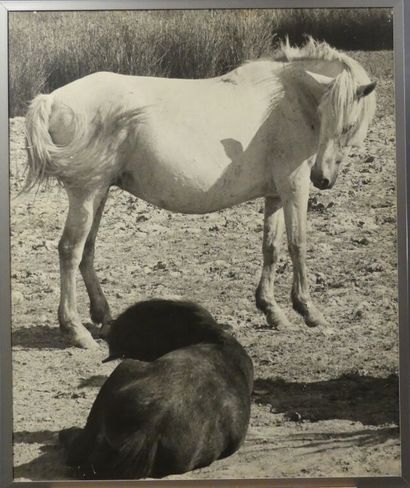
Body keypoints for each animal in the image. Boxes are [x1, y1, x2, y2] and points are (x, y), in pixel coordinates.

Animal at [24, 40, 374, 348]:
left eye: (347, 126)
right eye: (328, 119)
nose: (322, 178)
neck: (288, 98)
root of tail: (52, 99)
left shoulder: (275, 195)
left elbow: (271, 249)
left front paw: (272, 310)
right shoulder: (295, 187)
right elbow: (298, 244)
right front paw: (308, 310)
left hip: (99, 194)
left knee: (87, 250)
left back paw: (104, 318)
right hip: (86, 193)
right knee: (70, 250)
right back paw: (76, 330)